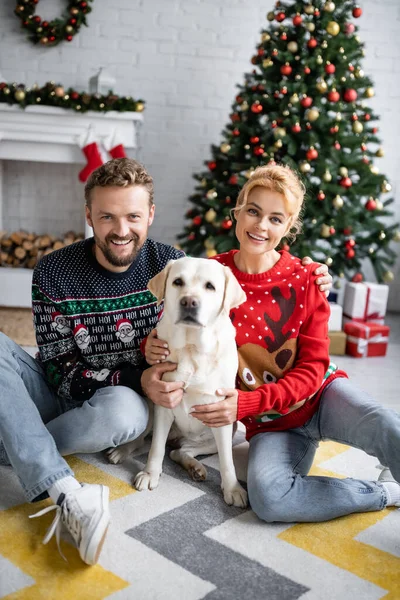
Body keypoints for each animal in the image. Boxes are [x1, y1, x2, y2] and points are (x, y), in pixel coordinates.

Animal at [133, 255, 248, 508]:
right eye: (178, 282)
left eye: (210, 286)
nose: (189, 302)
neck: (191, 347)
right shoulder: (163, 402)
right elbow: (155, 448)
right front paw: (150, 474)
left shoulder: (222, 414)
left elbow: (227, 460)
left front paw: (233, 488)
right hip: (149, 405)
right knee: (150, 441)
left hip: (220, 434)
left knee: (180, 451)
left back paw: (195, 467)